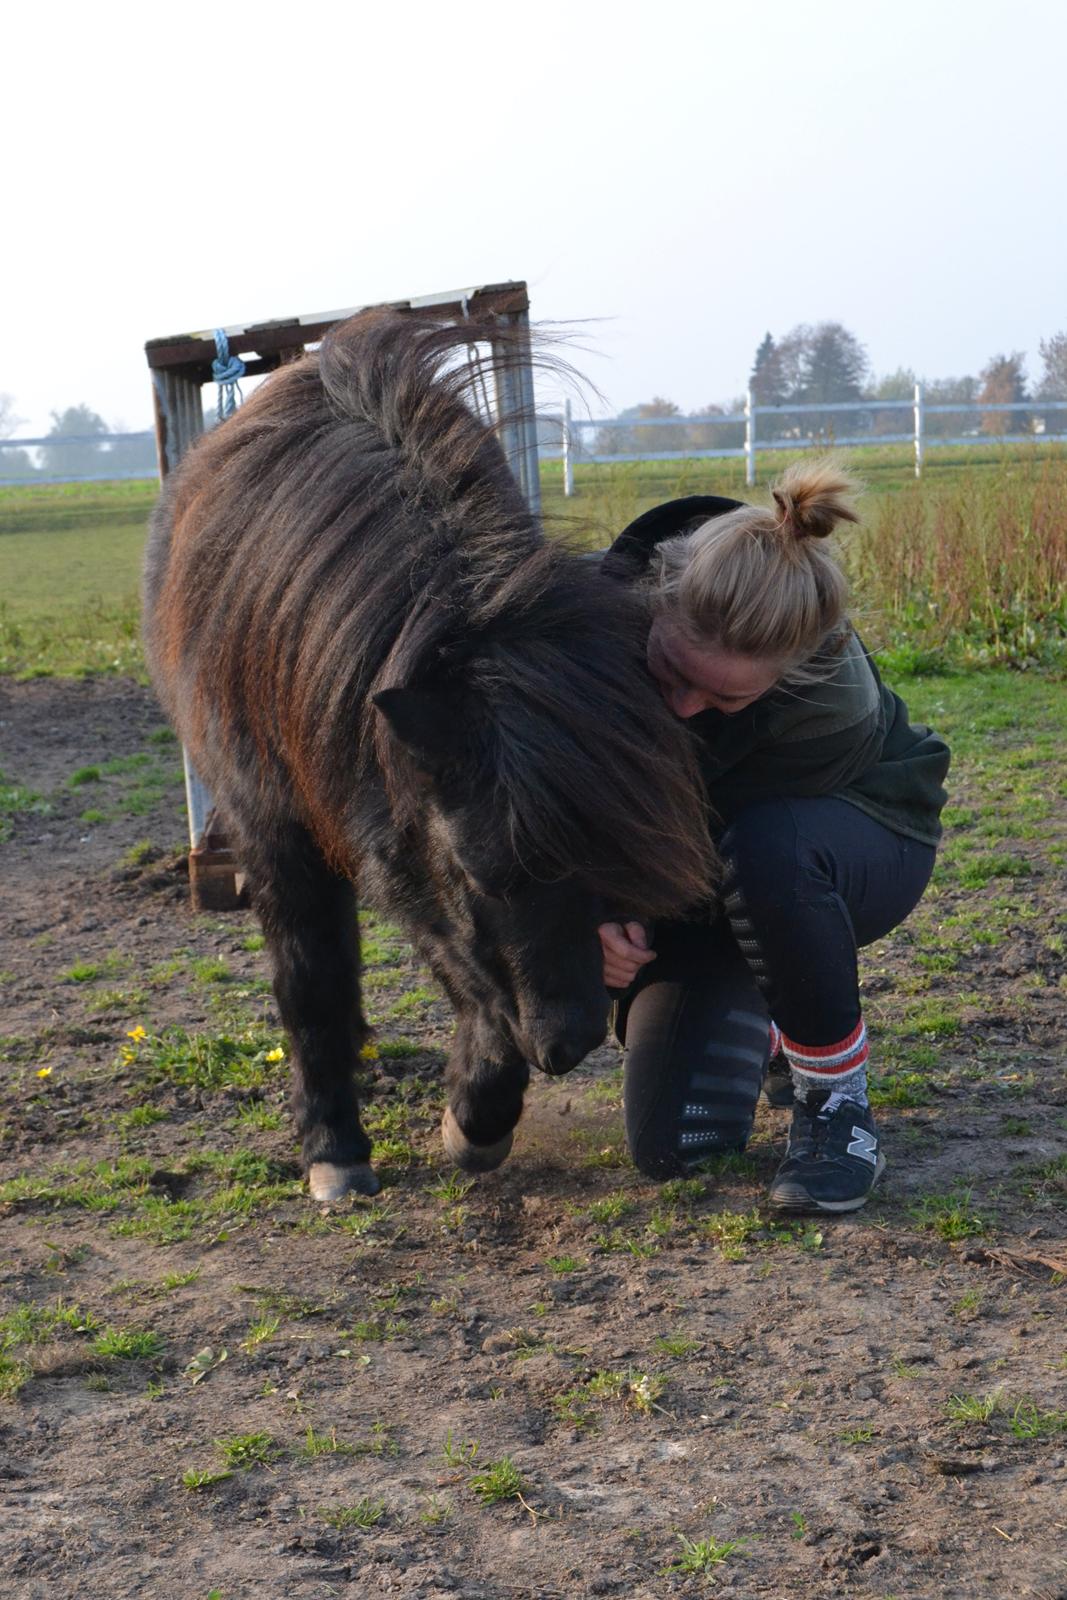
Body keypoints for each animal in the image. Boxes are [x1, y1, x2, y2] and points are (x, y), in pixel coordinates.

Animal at [139, 305, 710, 1196]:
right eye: (479, 872)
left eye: (607, 865)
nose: (570, 1042)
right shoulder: (281, 830)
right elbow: (312, 977)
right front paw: (335, 1145)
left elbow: (470, 980)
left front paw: (477, 1115)